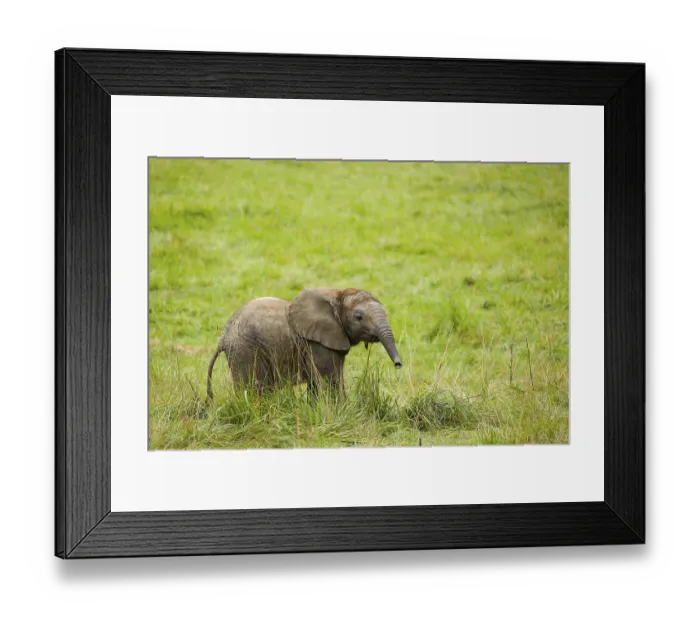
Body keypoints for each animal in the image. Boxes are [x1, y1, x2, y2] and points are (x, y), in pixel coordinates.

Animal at [205, 287, 402, 404]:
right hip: (245, 349)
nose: (398, 364)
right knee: (252, 388)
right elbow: (330, 379)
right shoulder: (317, 343)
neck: (336, 295)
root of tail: (223, 337)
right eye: (359, 317)